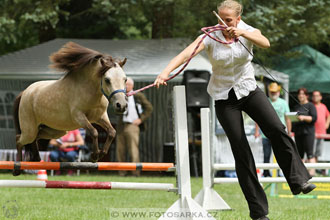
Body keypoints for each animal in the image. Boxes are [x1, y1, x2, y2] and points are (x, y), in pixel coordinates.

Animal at [12, 41, 127, 175]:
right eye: (107, 80)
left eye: (125, 79)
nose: (121, 105)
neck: (90, 90)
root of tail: (25, 92)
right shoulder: (79, 117)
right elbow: (94, 132)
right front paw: (94, 156)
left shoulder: (100, 117)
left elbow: (112, 132)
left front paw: (101, 153)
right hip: (30, 130)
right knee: (19, 139)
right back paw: (17, 168)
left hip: (55, 131)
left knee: (35, 138)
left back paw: (36, 158)